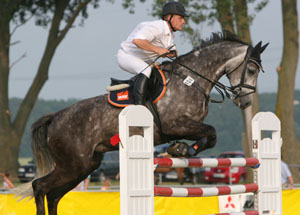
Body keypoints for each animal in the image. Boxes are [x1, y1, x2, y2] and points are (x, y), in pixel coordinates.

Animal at [15, 31, 268, 215]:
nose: (245, 101)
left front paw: (180, 149)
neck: (191, 80)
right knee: (40, 187)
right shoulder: (175, 124)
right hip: (73, 164)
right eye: (251, 69)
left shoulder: (184, 127)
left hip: (85, 165)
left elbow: (209, 137)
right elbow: (212, 132)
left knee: (53, 194)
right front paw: (182, 149)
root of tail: (55, 117)